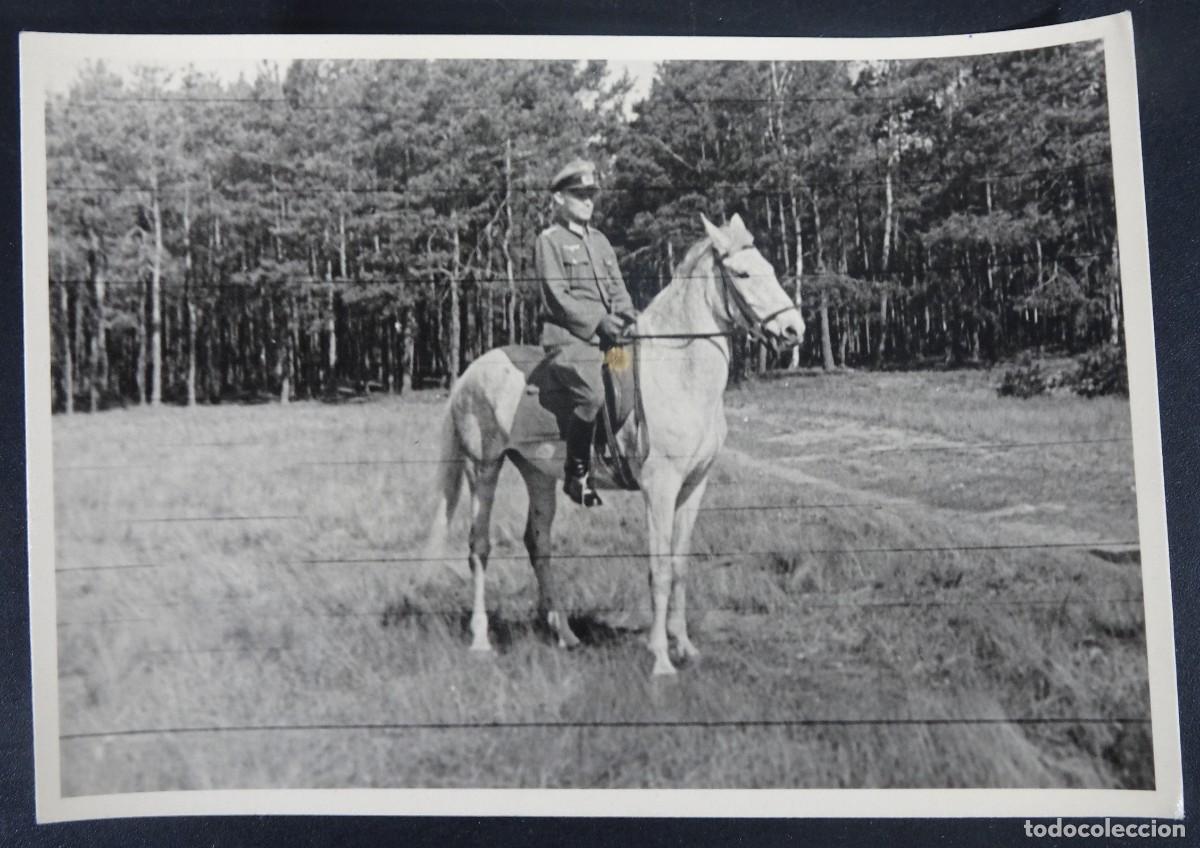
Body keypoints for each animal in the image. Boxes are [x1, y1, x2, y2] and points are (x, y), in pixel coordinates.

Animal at [428, 213, 805, 675]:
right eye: (743, 273)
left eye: (768, 265)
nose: (794, 330)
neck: (678, 371)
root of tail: (470, 373)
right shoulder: (659, 488)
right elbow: (659, 570)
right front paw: (661, 658)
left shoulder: (693, 486)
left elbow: (679, 565)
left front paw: (684, 646)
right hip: (483, 467)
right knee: (478, 547)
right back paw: (481, 640)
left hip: (537, 474)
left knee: (539, 544)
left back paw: (565, 635)